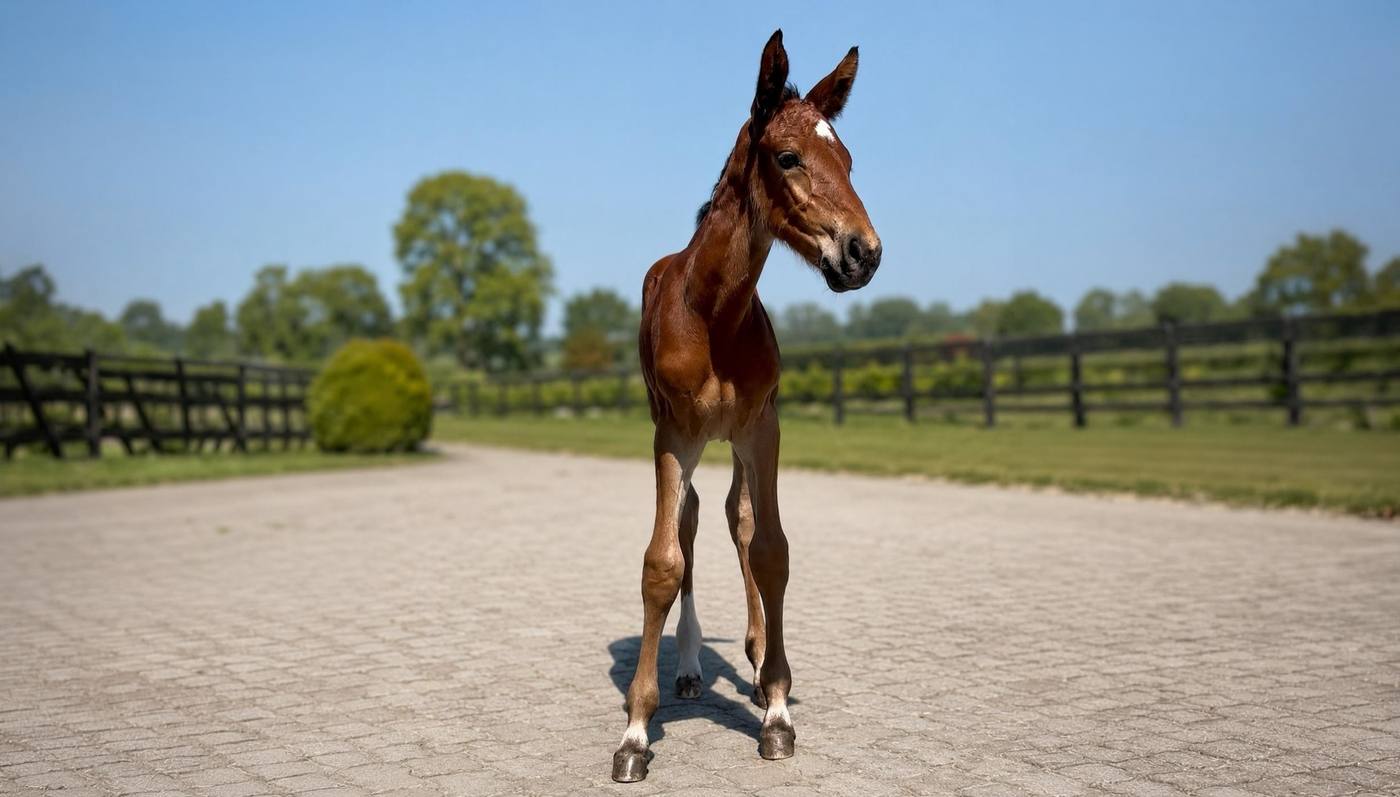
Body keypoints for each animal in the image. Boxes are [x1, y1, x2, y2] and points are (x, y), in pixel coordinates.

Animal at [612, 29, 882, 783]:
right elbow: (662, 562)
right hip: (691, 438)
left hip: (732, 439)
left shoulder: (763, 427)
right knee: (693, 521)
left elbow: (770, 548)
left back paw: (757, 662)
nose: (864, 252)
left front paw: (778, 709)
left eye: (848, 160)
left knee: (736, 517)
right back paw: (690, 665)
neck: (714, 313)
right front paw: (635, 731)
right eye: (787, 157)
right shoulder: (672, 434)